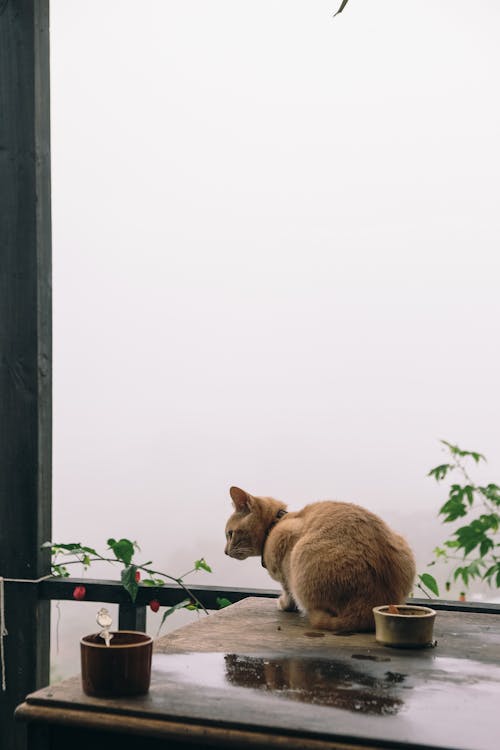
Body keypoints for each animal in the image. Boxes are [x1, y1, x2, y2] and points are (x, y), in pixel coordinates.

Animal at [225, 488, 416, 636]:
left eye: (230, 534)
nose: (225, 552)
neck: (275, 524)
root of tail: (366, 610)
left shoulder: (286, 543)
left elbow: (287, 590)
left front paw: (285, 604)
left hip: (299, 553)